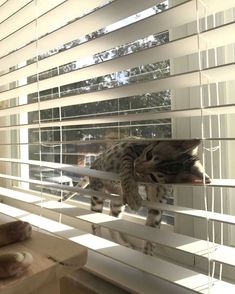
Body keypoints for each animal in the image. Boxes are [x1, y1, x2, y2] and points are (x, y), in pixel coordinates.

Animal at [63, 139, 211, 254]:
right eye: (149, 154)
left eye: (154, 177)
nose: (137, 166)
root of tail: (94, 162)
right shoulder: (131, 147)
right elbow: (126, 168)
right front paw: (132, 194)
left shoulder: (157, 203)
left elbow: (152, 230)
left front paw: (148, 254)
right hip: (97, 193)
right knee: (95, 222)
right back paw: (97, 239)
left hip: (117, 203)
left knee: (112, 219)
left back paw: (120, 242)